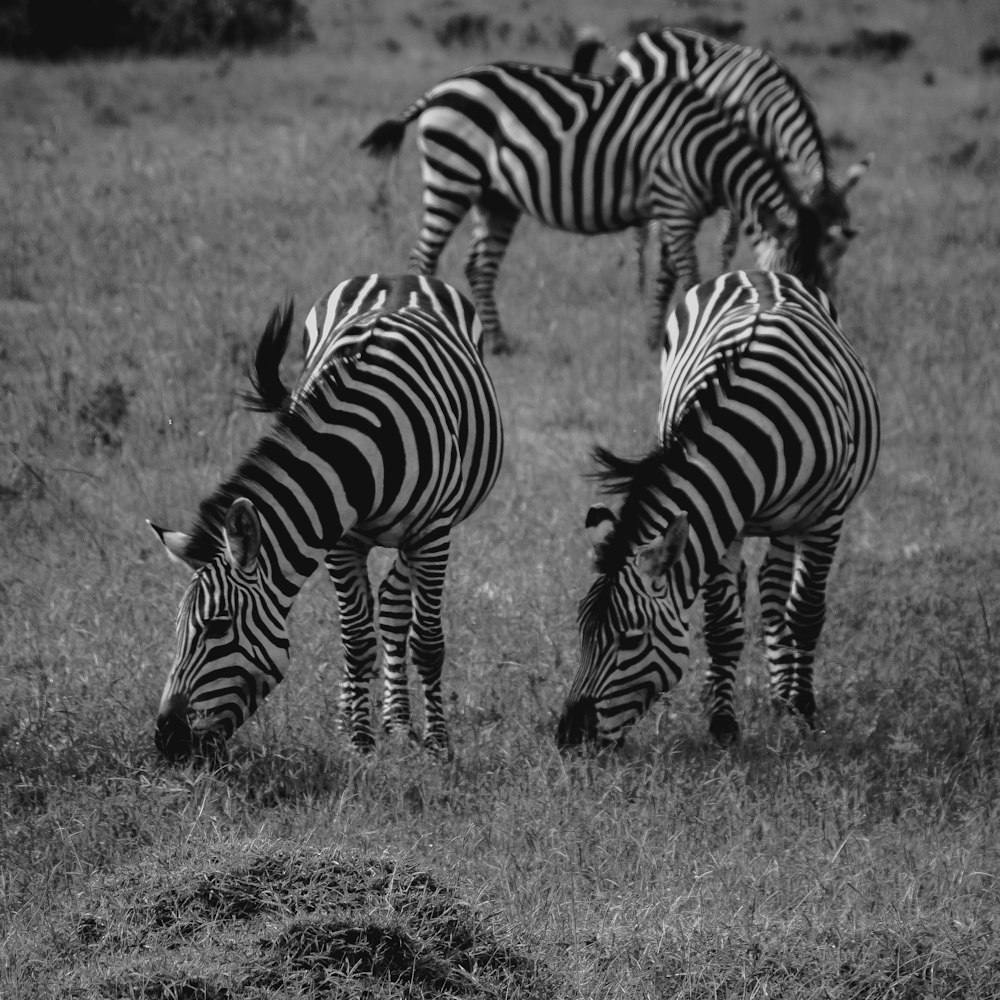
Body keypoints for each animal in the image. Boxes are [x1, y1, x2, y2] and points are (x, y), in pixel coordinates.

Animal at [146, 272, 508, 756]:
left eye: (217, 627)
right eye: (177, 630)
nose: (166, 739)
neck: (363, 448)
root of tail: (398, 275)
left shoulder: (433, 532)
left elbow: (427, 642)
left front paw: (437, 746)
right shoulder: (339, 540)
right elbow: (356, 640)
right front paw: (358, 740)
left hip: (432, 527)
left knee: (395, 603)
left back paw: (401, 720)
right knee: (381, 607)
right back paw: (370, 716)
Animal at [360, 61, 828, 352]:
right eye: (793, 276)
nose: (810, 337)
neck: (710, 154)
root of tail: (439, 89)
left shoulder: (676, 210)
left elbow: (665, 276)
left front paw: (654, 336)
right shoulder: (675, 202)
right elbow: (688, 274)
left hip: (496, 196)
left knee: (479, 266)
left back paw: (499, 342)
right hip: (452, 174)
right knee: (424, 256)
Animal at [560, 270, 880, 748]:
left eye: (630, 640)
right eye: (581, 633)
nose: (568, 737)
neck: (757, 433)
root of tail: (758, 272)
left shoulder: (827, 517)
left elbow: (805, 613)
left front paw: (805, 711)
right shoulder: (719, 524)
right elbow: (722, 627)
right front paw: (724, 722)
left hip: (795, 520)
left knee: (778, 589)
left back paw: (787, 694)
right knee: (763, 582)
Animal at [576, 25, 872, 290]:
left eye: (842, 251)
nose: (824, 292)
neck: (767, 105)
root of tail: (646, 36)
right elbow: (729, 239)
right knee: (642, 229)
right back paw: (640, 286)